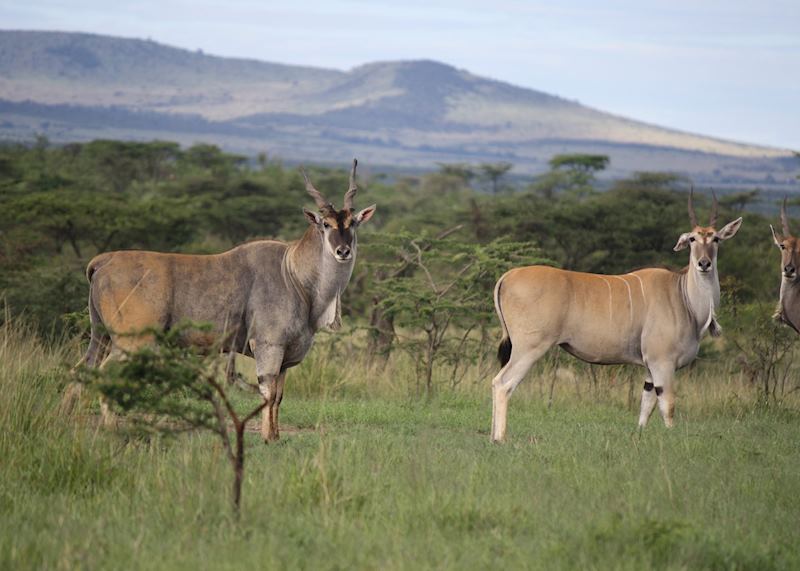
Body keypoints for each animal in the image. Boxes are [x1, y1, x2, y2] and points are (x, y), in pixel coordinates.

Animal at [65, 160, 376, 442]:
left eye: (352, 223)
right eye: (326, 224)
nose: (343, 251)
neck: (294, 274)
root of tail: (103, 261)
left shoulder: (285, 360)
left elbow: (278, 397)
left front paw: (276, 436)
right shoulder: (269, 347)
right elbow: (267, 393)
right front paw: (267, 437)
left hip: (101, 338)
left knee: (81, 370)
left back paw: (65, 417)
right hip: (132, 343)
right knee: (105, 373)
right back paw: (110, 427)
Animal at [488, 192, 744, 442]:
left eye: (716, 239)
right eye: (692, 239)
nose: (704, 263)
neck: (683, 296)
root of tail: (508, 276)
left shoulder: (650, 368)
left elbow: (646, 406)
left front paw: (639, 438)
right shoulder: (662, 363)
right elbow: (668, 406)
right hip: (529, 348)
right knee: (502, 383)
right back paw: (499, 438)